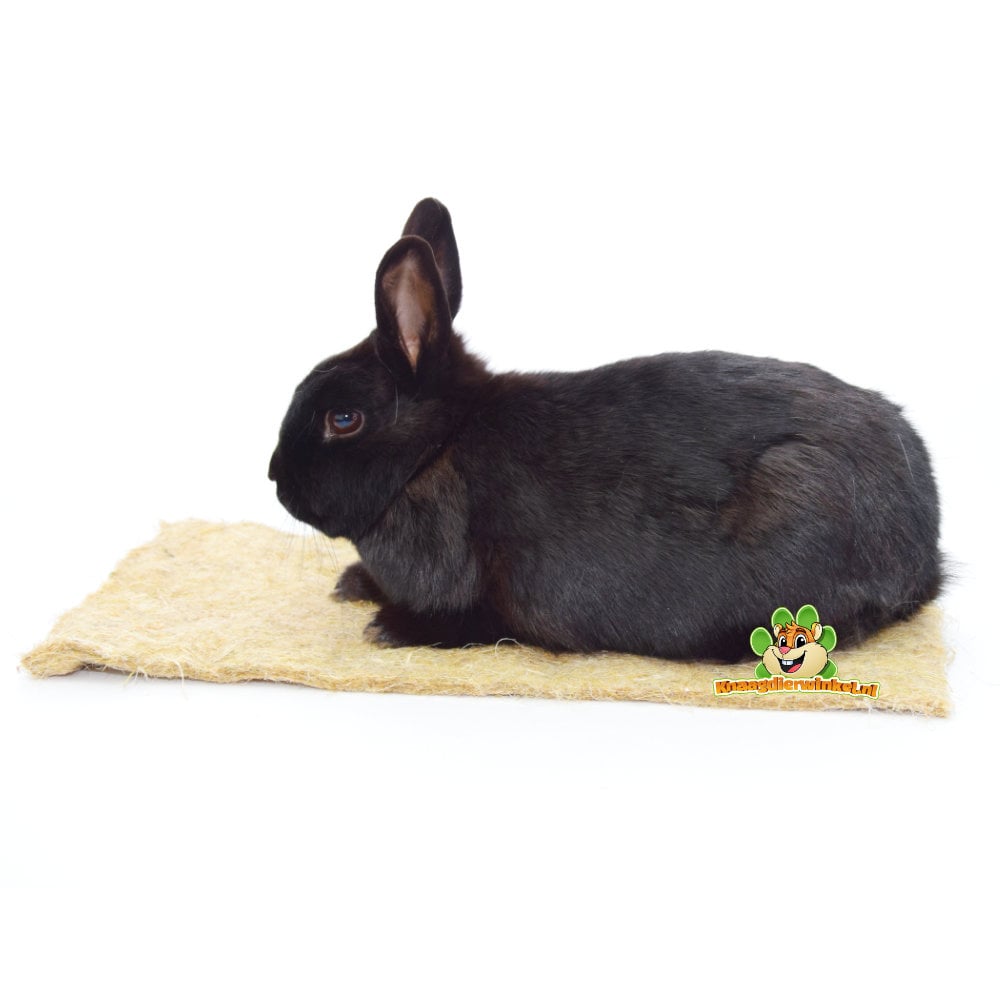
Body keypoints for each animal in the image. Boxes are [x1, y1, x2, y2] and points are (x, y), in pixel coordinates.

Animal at [268, 198, 942, 662]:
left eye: (343, 418)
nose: (275, 477)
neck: (435, 450)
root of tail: (923, 541)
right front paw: (352, 585)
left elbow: (474, 624)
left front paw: (387, 627)